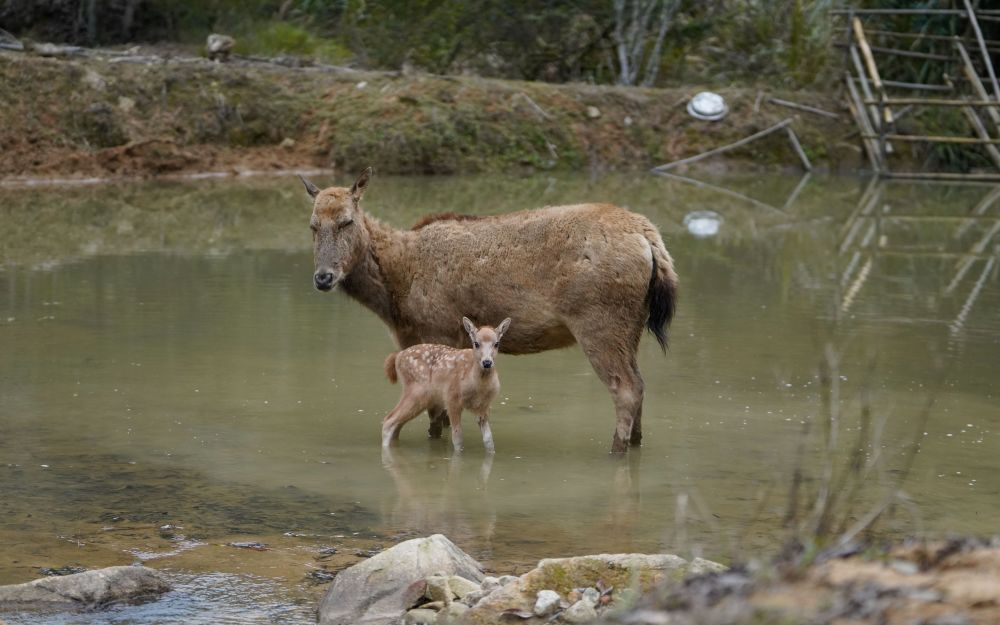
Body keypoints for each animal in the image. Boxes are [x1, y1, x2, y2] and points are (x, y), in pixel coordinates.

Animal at [300, 168, 676, 450]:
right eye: (313, 225)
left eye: (347, 221)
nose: (323, 277)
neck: (396, 289)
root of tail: (651, 240)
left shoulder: (438, 329)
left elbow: (437, 417)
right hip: (632, 327)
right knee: (641, 385)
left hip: (600, 322)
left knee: (625, 389)